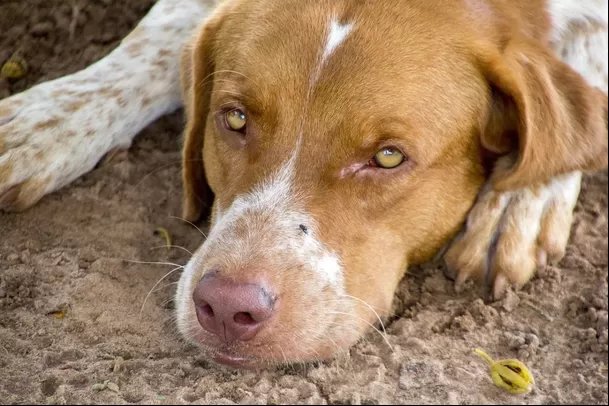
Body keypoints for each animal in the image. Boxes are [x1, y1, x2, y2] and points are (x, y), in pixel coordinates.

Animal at [1, 0, 608, 368]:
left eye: (388, 156)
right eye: (235, 118)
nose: (227, 307)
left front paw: (520, 200)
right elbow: (159, 32)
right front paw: (44, 119)